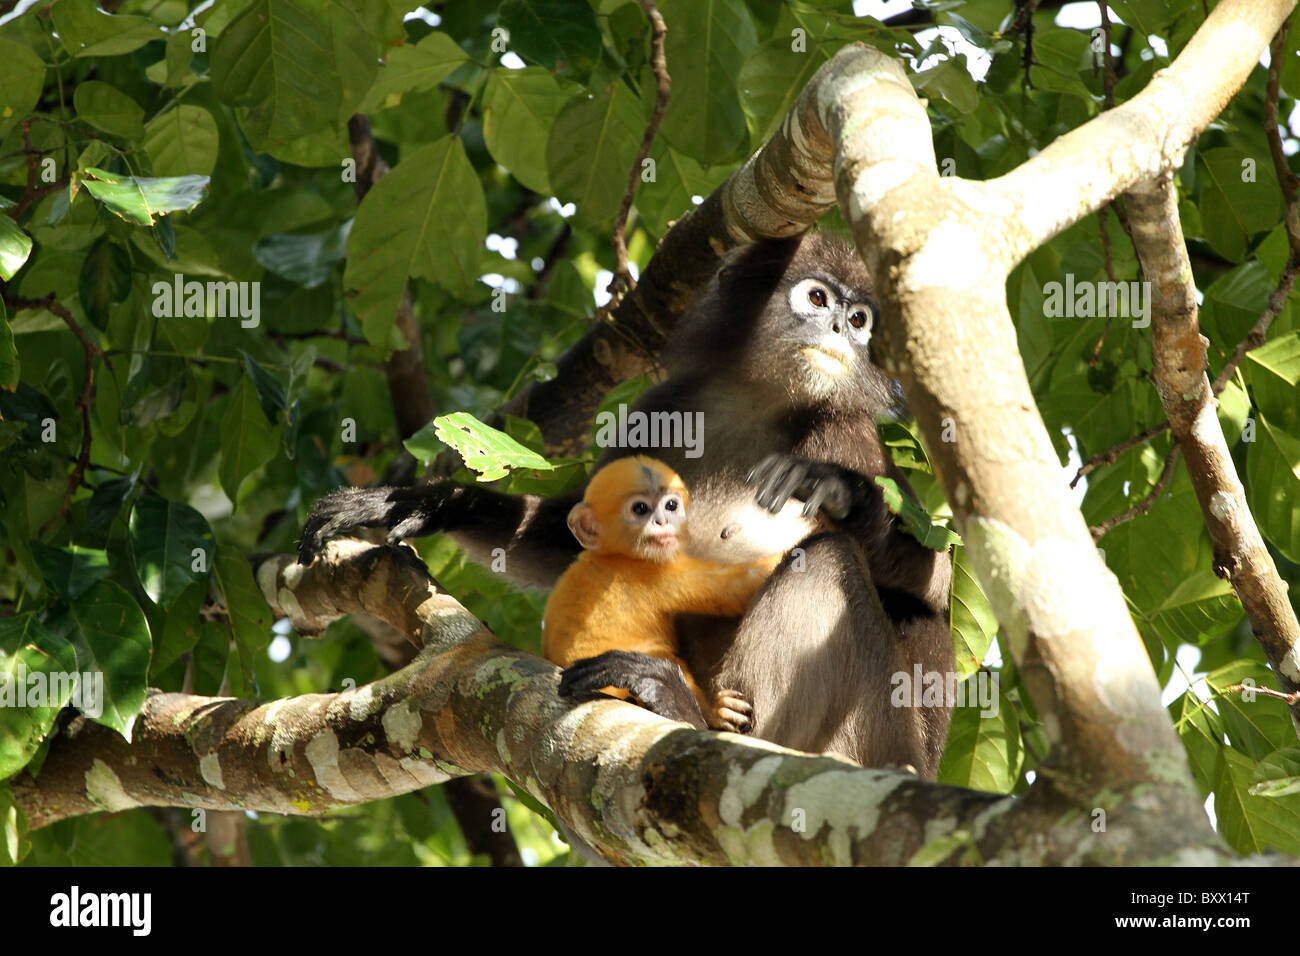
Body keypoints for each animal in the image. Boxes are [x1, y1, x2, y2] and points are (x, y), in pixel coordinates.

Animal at [543, 455, 781, 733]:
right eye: (640, 509)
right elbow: (741, 586)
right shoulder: (654, 574)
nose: (662, 522)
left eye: (670, 505)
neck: (613, 556)